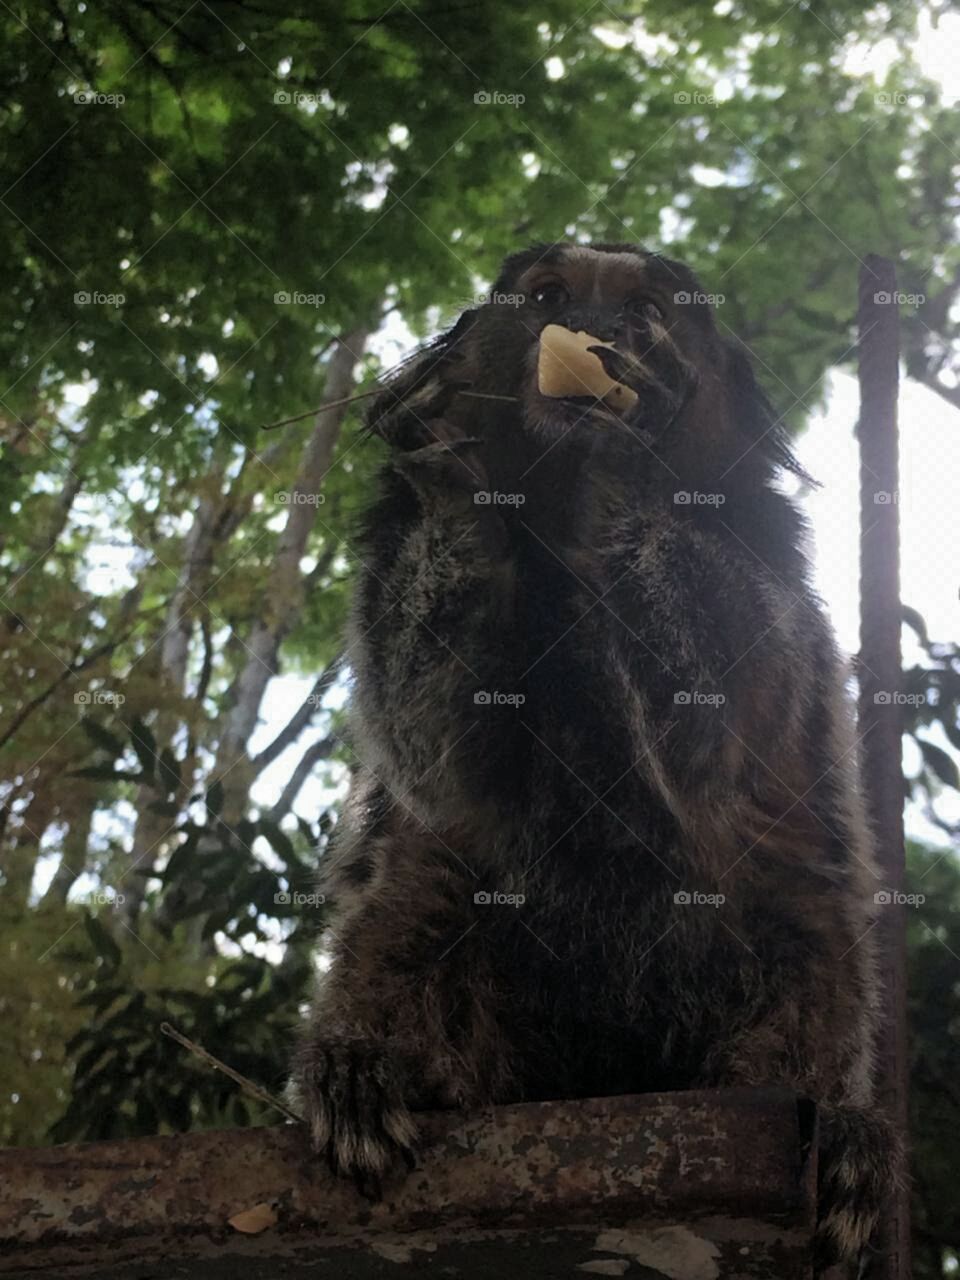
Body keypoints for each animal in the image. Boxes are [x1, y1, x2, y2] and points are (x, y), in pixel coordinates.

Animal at [289, 242, 897, 1271]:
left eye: (646, 308)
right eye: (549, 296)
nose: (601, 329)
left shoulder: (766, 588)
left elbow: (709, 741)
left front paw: (636, 444)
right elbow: (433, 759)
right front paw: (449, 466)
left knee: (805, 921)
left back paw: (838, 1136)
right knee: (418, 885)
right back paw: (372, 1075)